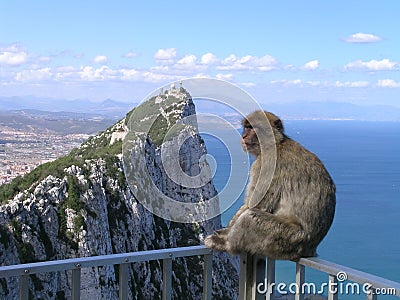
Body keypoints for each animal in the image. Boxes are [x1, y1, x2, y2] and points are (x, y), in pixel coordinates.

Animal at [205, 110, 336, 260]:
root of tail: (309, 250)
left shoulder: (265, 165)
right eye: (246, 127)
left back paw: (227, 244)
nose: (243, 136)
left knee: (250, 217)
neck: (274, 145)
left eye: (252, 128)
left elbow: (256, 205)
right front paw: (225, 230)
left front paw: (225, 236)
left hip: (284, 239)